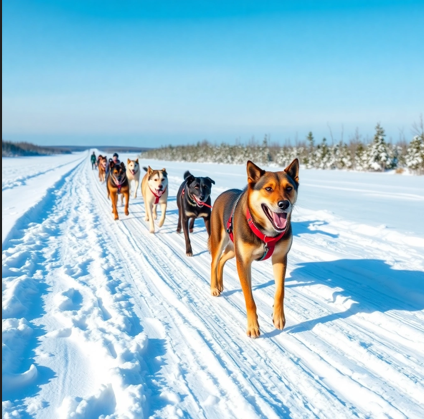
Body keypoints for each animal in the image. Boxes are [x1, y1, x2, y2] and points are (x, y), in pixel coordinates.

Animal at [209, 159, 298, 340]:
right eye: (268, 189)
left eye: (289, 188)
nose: (284, 204)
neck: (266, 234)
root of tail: (222, 194)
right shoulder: (243, 262)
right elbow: (249, 300)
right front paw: (253, 327)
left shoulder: (280, 258)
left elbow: (280, 291)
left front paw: (278, 317)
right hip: (220, 242)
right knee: (214, 262)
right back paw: (214, 287)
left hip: (233, 250)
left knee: (221, 261)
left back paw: (220, 284)